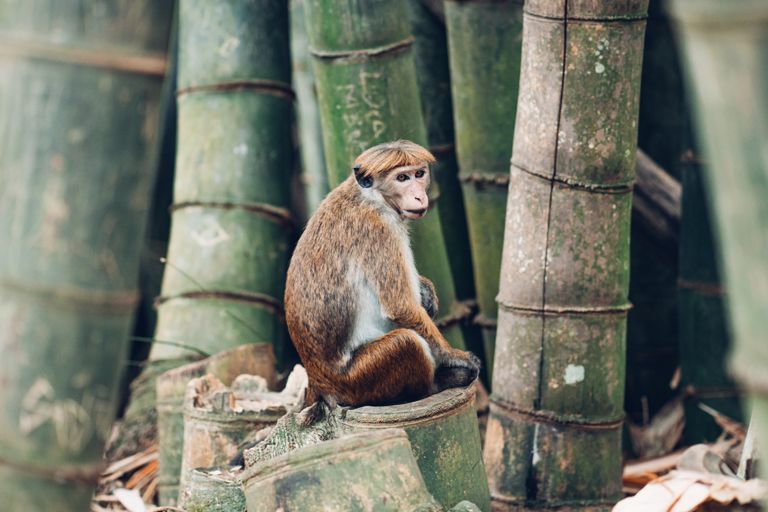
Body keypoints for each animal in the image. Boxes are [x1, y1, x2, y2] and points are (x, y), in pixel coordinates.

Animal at [284, 140, 481, 411]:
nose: (419, 195)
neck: (370, 197)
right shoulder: (381, 230)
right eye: (402, 178)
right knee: (405, 342)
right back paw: (436, 384)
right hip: (359, 380)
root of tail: (319, 383)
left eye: (419, 174)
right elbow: (400, 306)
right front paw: (456, 357)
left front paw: (427, 289)